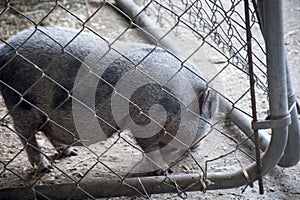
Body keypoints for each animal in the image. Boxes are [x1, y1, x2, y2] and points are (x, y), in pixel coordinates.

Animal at [0, 27, 217, 175]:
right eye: (205, 116)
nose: (198, 146)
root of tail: (5, 51)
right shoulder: (143, 116)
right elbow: (150, 146)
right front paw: (164, 170)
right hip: (20, 103)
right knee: (24, 132)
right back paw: (45, 167)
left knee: (47, 131)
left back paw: (70, 152)